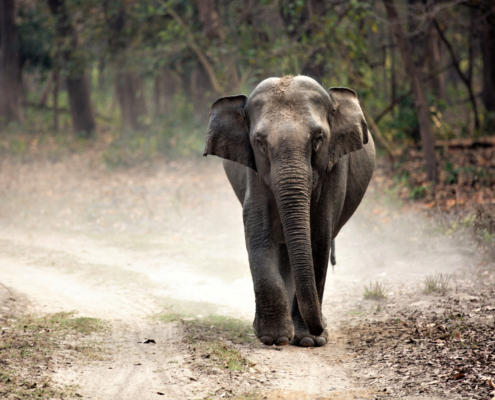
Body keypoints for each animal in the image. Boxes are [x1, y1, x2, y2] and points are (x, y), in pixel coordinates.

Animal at [203, 75, 374, 346]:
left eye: (318, 139)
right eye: (259, 143)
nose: (321, 328)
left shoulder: (334, 169)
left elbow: (319, 238)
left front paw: (309, 341)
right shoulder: (254, 171)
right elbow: (258, 232)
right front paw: (274, 338)